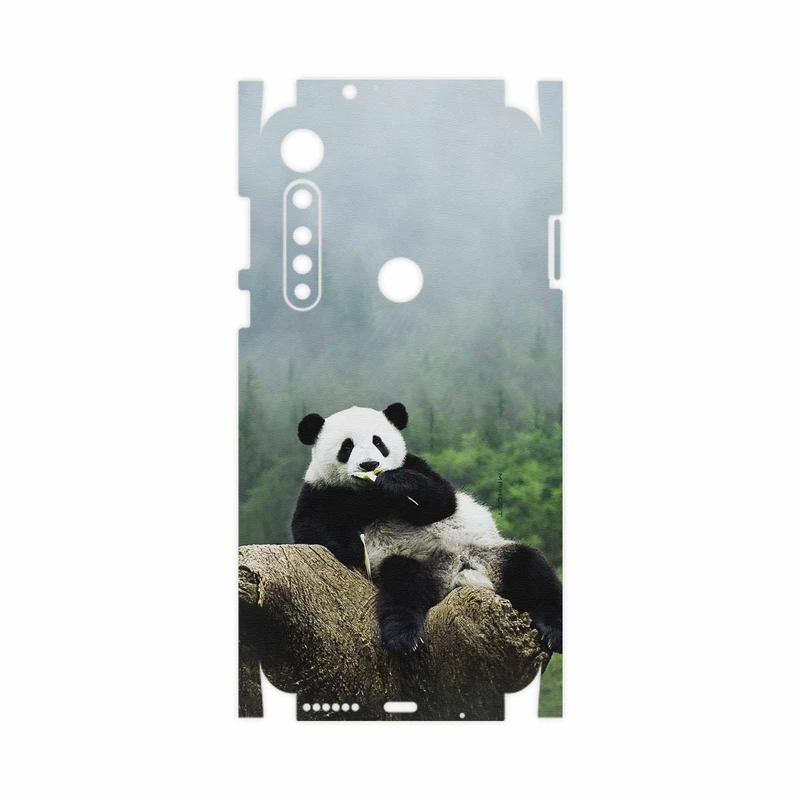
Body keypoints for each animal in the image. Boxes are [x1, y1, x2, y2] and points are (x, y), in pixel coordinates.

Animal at [291, 403, 563, 655]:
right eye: (346, 446)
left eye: (378, 442)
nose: (370, 464)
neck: (368, 493)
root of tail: (458, 573)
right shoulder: (321, 491)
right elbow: (309, 527)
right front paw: (355, 547)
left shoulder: (415, 464)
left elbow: (442, 500)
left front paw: (395, 483)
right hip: (414, 562)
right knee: (403, 587)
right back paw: (405, 637)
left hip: (489, 553)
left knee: (532, 569)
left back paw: (554, 632)